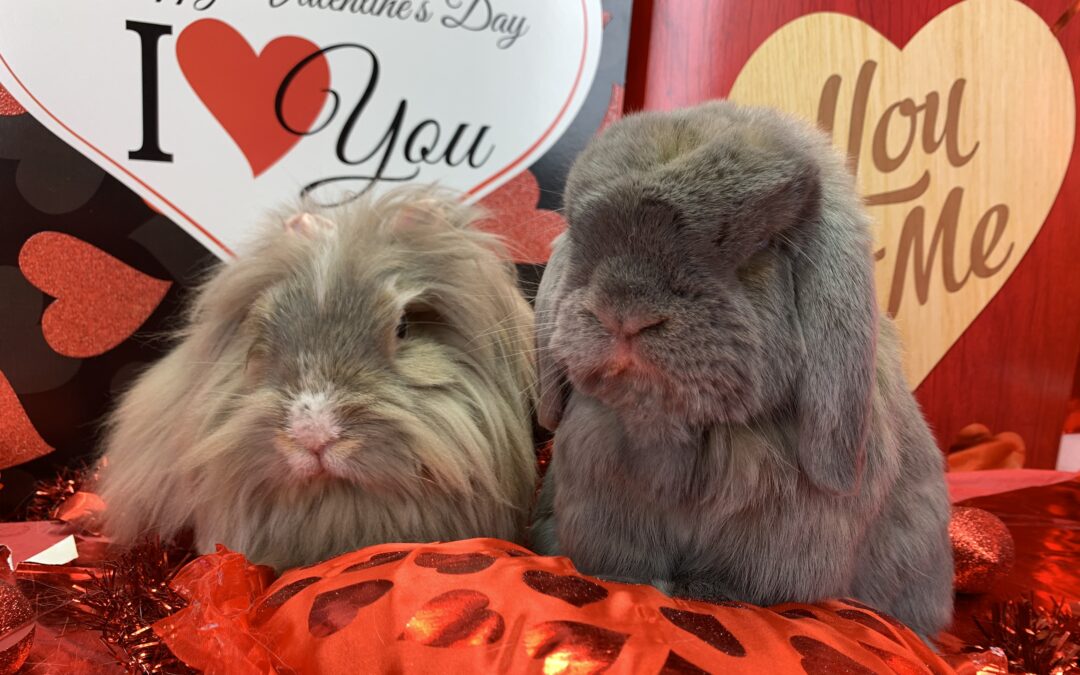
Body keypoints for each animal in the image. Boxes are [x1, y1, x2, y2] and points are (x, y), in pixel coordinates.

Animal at [529, 100, 954, 638]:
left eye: (760, 249)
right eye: (581, 233)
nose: (623, 311)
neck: (685, 437)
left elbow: (742, 587)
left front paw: (704, 593)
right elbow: (622, 566)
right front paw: (629, 580)